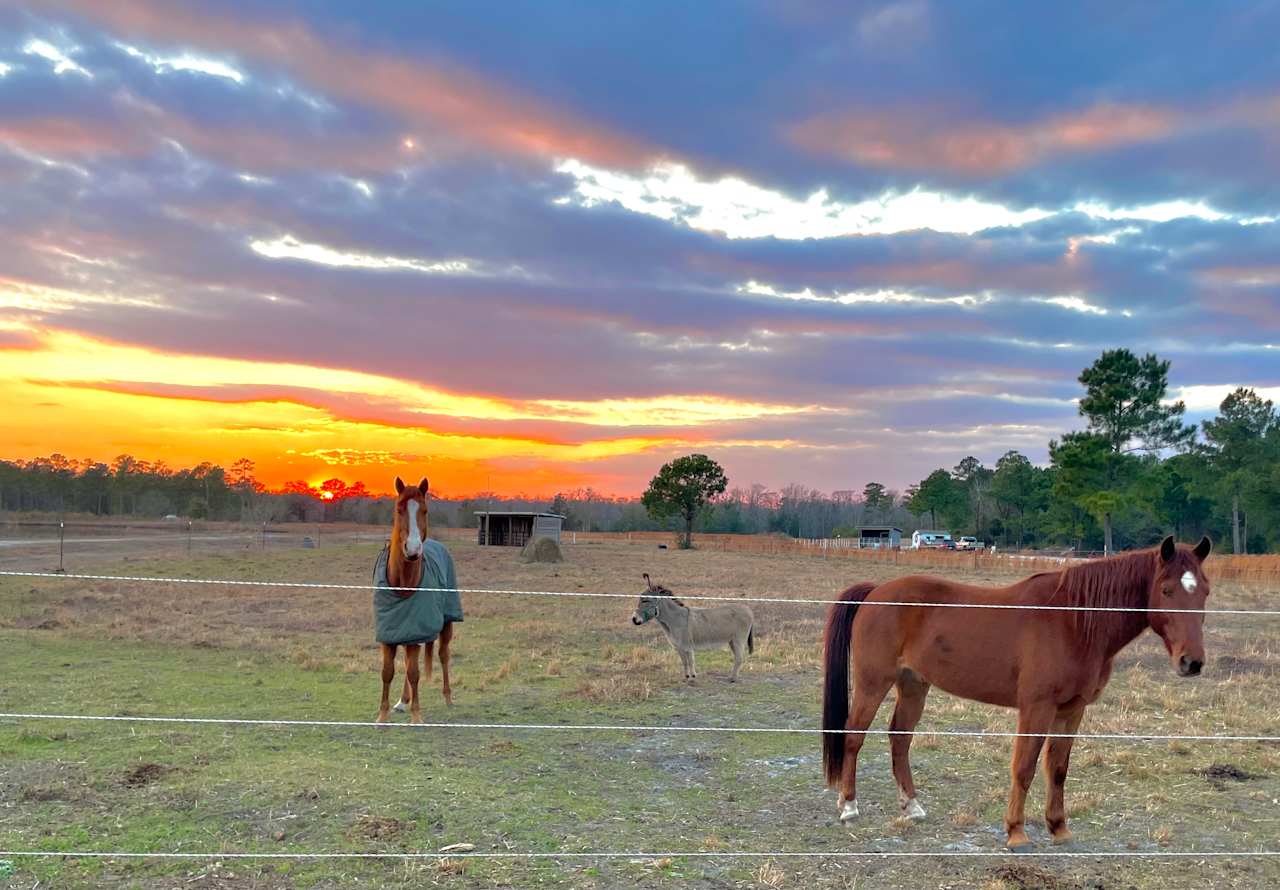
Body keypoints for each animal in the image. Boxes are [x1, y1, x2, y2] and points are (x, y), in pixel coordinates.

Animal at [376, 481, 458, 722]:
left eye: (425, 511)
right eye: (399, 509)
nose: (412, 550)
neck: (402, 585)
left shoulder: (415, 631)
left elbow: (414, 672)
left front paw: (417, 717)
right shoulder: (391, 632)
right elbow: (388, 672)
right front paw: (382, 717)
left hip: (446, 624)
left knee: (443, 655)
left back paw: (448, 698)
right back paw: (402, 701)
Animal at [824, 535, 1213, 850]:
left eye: (1205, 591)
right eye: (1166, 590)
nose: (1191, 662)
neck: (1074, 621)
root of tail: (876, 591)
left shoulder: (1072, 709)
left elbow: (1058, 768)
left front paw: (1059, 829)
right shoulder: (1036, 707)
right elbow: (1024, 767)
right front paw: (1016, 833)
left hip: (913, 684)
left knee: (900, 738)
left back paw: (912, 805)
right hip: (874, 682)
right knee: (853, 736)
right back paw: (848, 806)